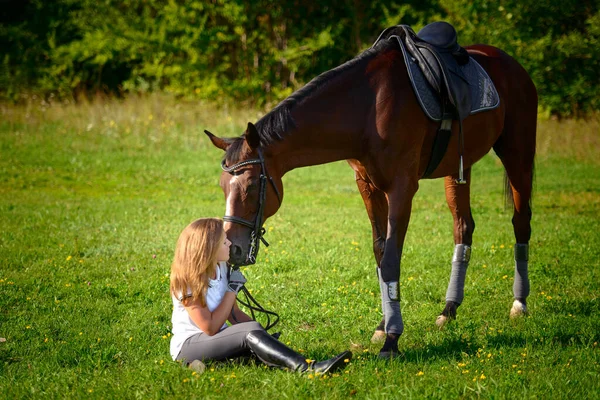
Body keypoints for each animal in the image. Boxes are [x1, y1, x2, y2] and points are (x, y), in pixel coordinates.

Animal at [204, 23, 536, 358]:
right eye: (222, 187)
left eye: (250, 185)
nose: (233, 247)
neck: (368, 108)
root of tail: (511, 63)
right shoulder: (368, 185)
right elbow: (380, 252)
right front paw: (382, 326)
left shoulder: (402, 187)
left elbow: (391, 258)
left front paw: (392, 339)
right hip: (457, 169)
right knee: (463, 227)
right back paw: (449, 308)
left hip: (518, 154)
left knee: (521, 222)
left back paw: (519, 303)